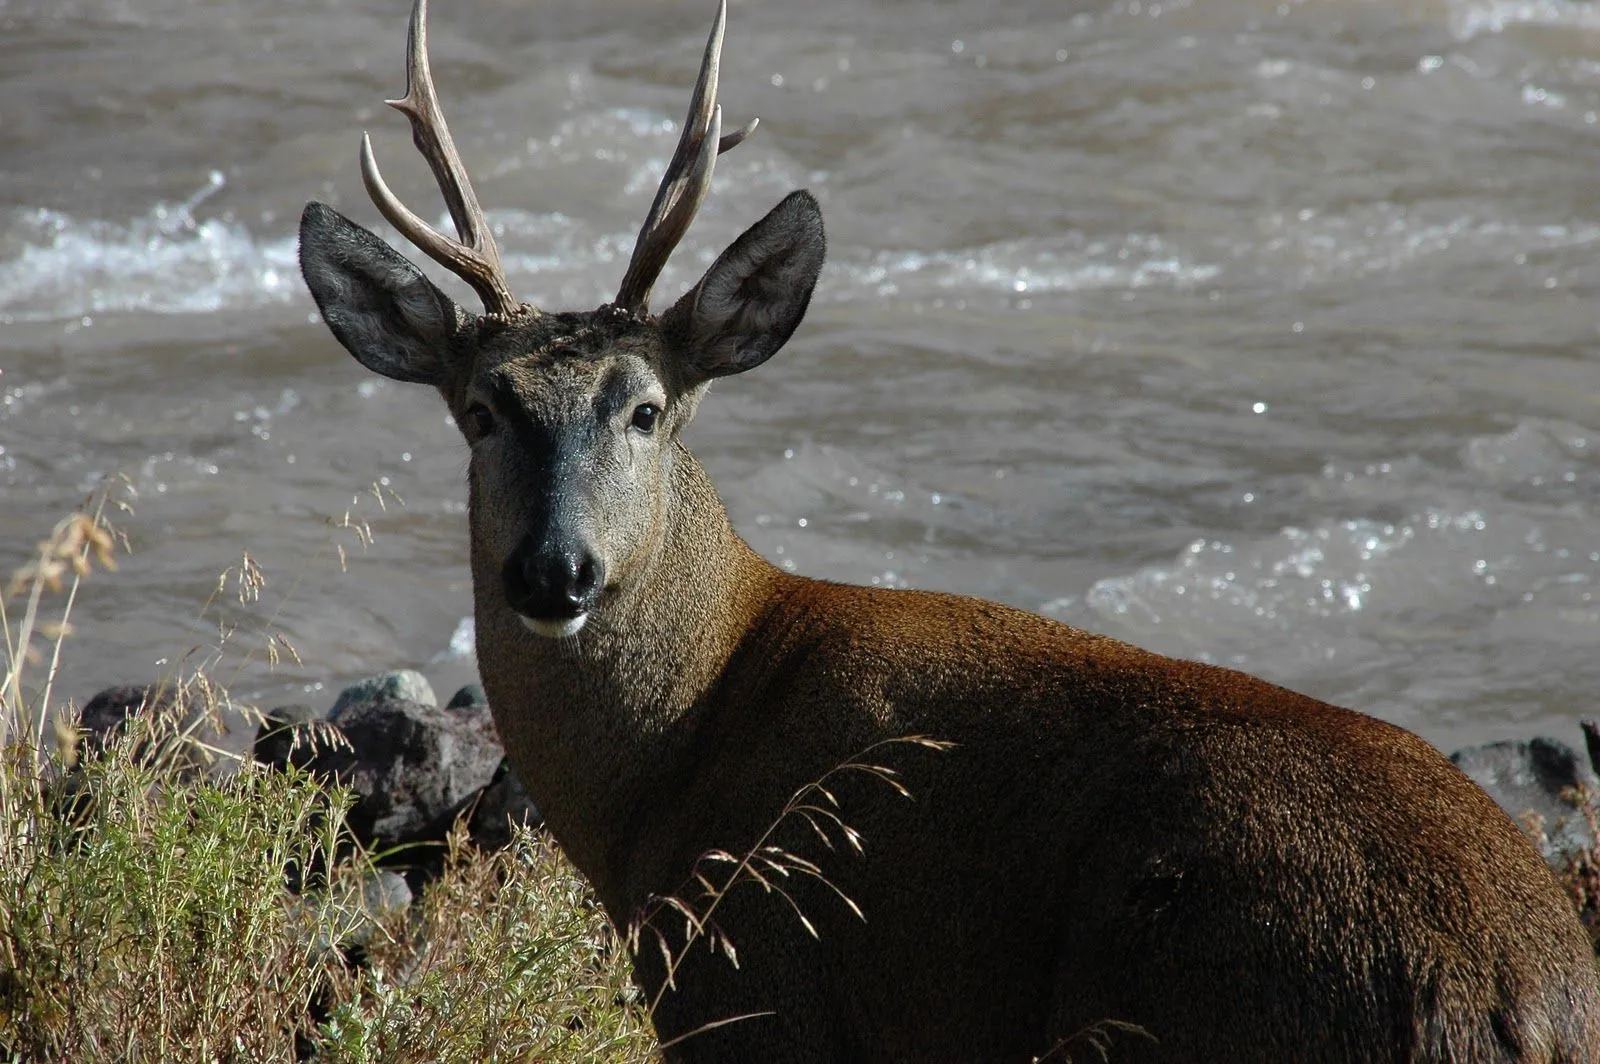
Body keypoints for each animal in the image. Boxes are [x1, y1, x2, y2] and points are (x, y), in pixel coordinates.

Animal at [297, 4, 1600, 1056]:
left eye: (646, 407)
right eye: (481, 408)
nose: (554, 568)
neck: (678, 761)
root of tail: (1516, 1000)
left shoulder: (756, 994)